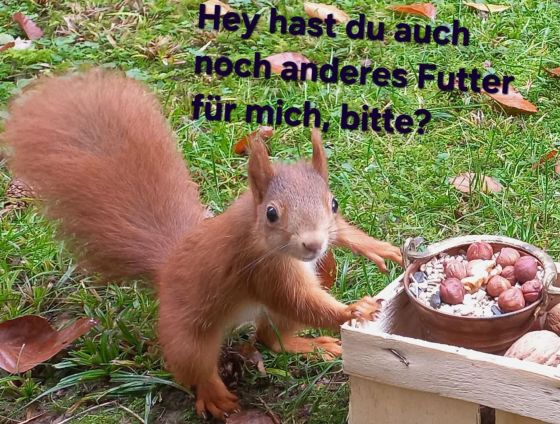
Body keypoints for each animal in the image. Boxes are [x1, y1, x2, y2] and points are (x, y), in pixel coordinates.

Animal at [2, 69, 403, 420]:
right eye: (272, 213)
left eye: (333, 203)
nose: (313, 245)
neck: (255, 228)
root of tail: (167, 264)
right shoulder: (261, 270)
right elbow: (299, 301)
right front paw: (352, 310)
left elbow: (339, 243)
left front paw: (377, 248)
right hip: (186, 332)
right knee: (195, 365)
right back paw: (213, 395)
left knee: (271, 338)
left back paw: (307, 345)